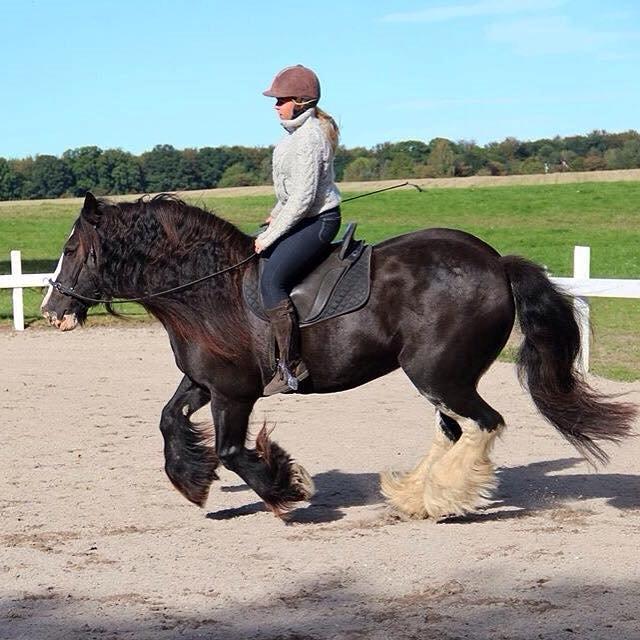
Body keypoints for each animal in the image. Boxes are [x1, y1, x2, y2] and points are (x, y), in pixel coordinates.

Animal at [42, 191, 636, 520]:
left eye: (70, 249)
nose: (51, 310)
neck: (209, 290)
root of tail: (496, 263)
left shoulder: (235, 392)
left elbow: (233, 450)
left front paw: (285, 488)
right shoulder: (203, 382)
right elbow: (167, 420)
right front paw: (191, 480)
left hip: (439, 373)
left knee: (481, 424)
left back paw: (442, 500)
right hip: (441, 377)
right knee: (456, 429)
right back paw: (417, 497)